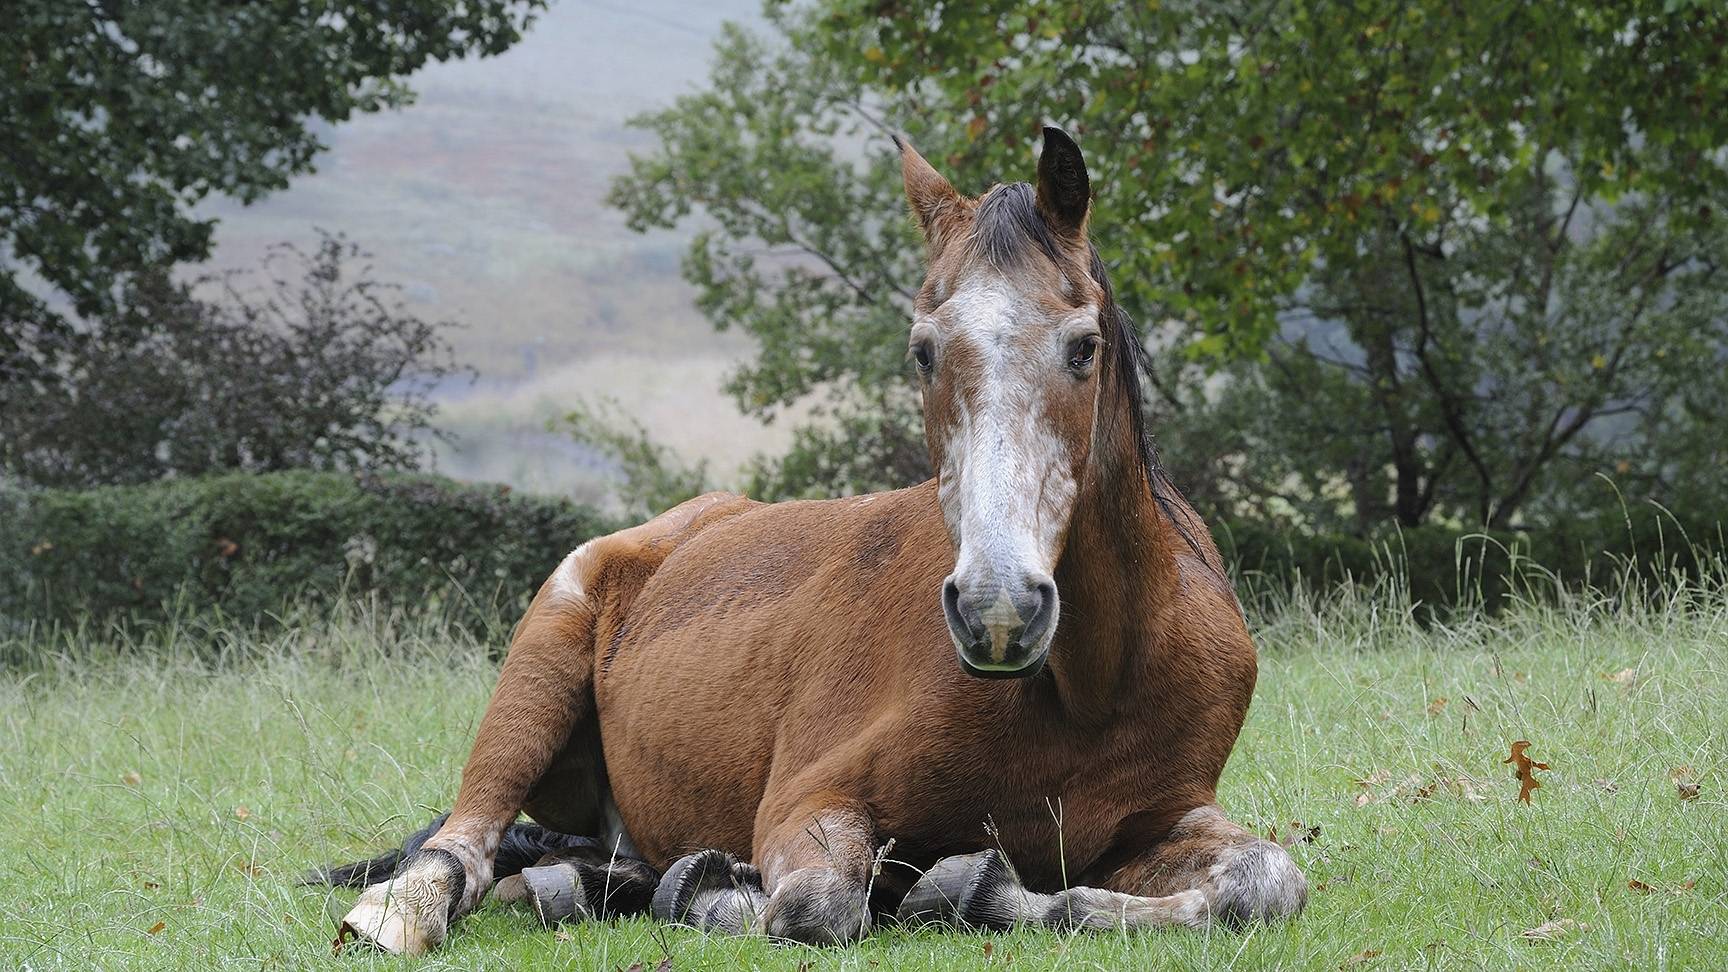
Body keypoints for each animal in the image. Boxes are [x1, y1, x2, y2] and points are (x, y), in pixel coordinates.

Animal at [320, 127, 1307, 955]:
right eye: (923, 350)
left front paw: (966, 888)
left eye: (1084, 346)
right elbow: (816, 904)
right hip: (539, 665)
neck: (1091, 684)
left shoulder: (1161, 822)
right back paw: (411, 911)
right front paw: (731, 893)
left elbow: (1267, 880)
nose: (998, 610)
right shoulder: (809, 799)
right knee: (466, 843)